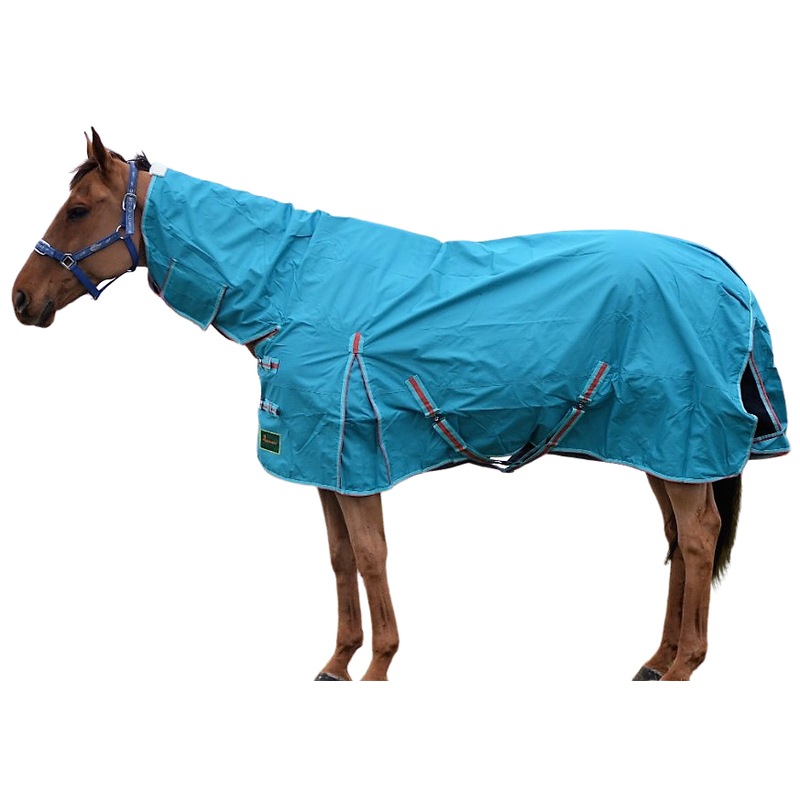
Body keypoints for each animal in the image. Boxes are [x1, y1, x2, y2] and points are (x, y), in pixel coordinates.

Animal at [12, 130, 790, 681]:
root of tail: (722, 272)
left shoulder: (356, 460)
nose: (21, 298)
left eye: (78, 209)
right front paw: (336, 663)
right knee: (682, 541)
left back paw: (684, 665)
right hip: (660, 449)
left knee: (697, 538)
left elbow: (371, 554)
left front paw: (378, 665)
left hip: (680, 440)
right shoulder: (321, 461)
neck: (290, 286)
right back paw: (656, 661)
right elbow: (339, 559)